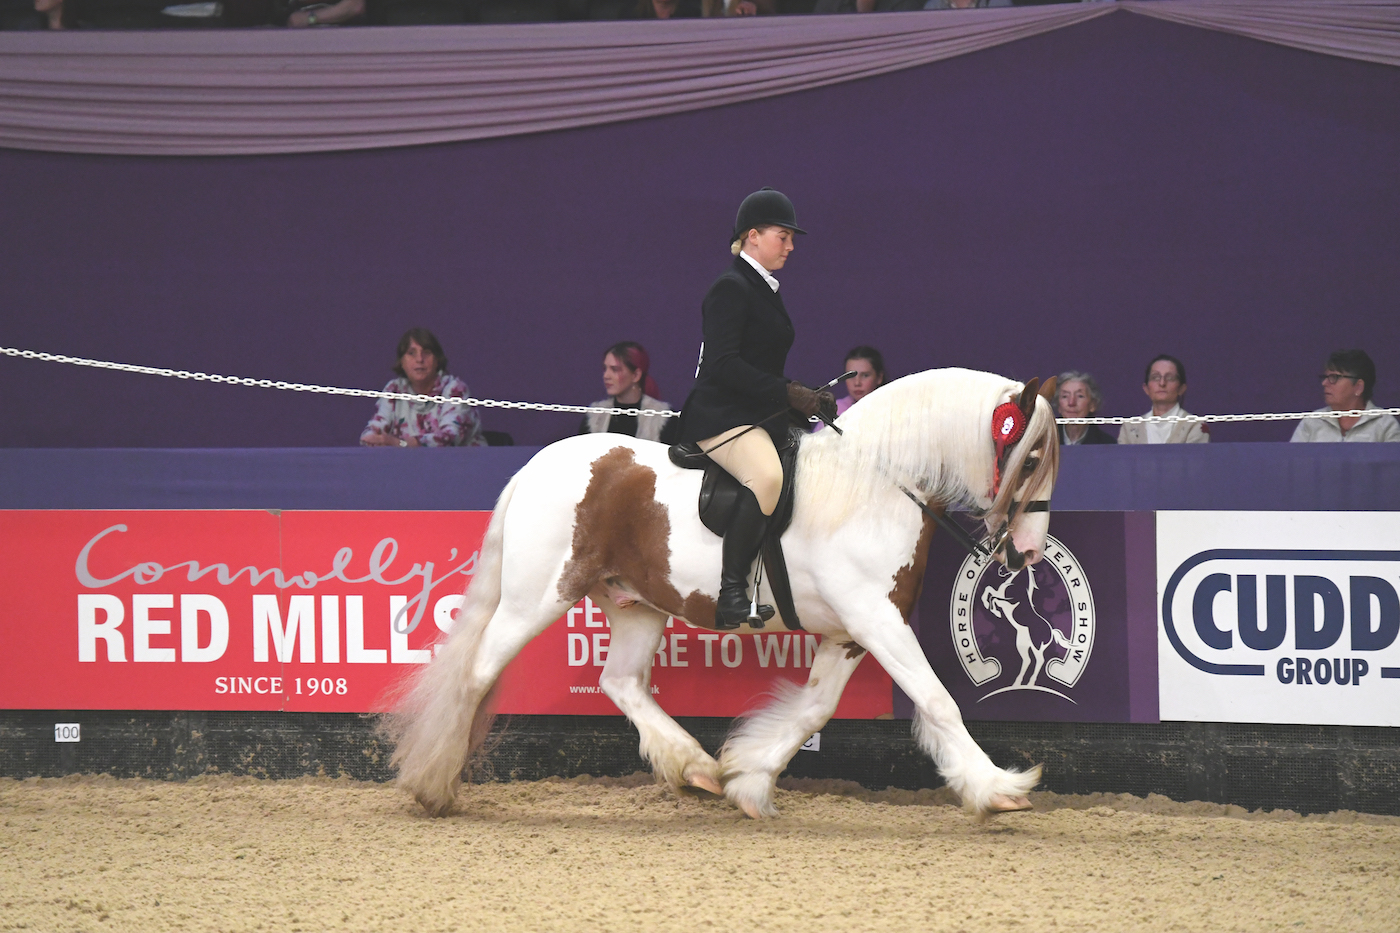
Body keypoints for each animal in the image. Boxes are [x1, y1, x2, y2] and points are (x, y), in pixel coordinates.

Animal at [383, 367, 1058, 818]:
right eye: (1027, 461)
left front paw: (748, 778)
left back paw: (697, 767)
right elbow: (940, 701)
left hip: (637, 605)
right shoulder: (876, 619)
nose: (1027, 552)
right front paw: (998, 789)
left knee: (620, 682)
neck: (875, 483)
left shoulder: (849, 632)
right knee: (477, 672)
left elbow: (815, 709)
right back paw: (435, 785)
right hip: (538, 598)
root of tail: (533, 466)